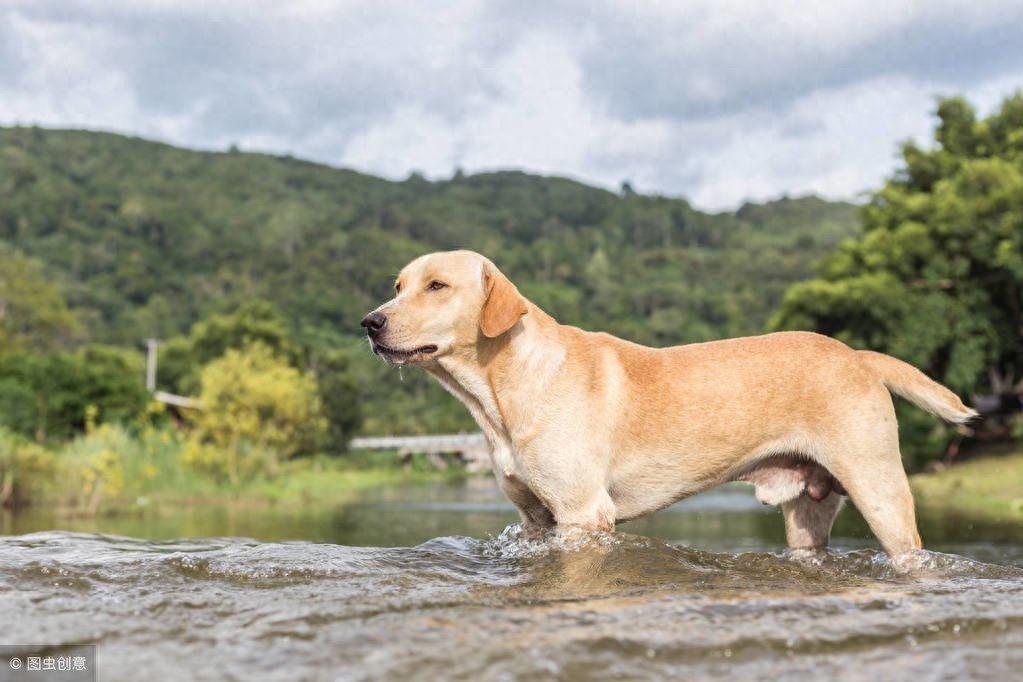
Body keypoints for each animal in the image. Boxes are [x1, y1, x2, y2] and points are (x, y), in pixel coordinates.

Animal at [360, 248, 973, 556]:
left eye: (437, 286)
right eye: (398, 286)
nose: (369, 322)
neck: (501, 387)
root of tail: (857, 354)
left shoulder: (583, 515)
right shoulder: (535, 520)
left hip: (881, 492)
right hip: (807, 512)